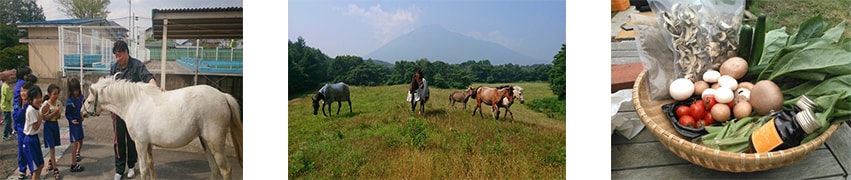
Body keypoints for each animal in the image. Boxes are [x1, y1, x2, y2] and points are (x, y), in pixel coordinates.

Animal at [82, 76, 243, 180]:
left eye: (89, 101)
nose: (81, 112)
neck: (133, 103)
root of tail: (223, 95)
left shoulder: (140, 144)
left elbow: (143, 170)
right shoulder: (148, 144)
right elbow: (151, 164)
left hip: (216, 145)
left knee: (226, 170)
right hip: (205, 142)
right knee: (214, 168)